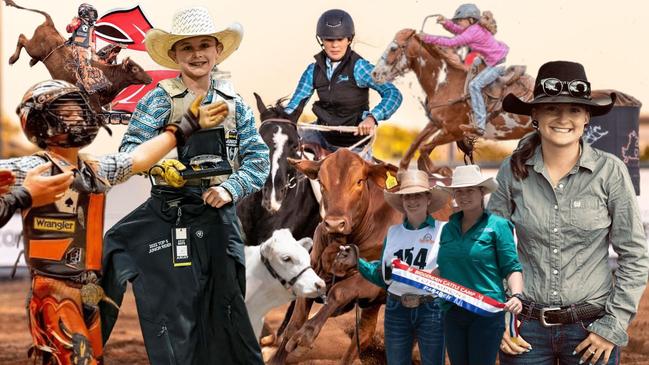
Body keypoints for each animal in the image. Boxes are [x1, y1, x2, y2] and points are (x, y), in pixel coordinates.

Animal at [4, 0, 153, 111]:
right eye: (135, 69)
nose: (150, 79)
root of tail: (50, 24)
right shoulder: (94, 102)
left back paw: (31, 61)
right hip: (34, 48)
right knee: (22, 38)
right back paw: (12, 59)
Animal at [370, 29, 532, 170]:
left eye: (393, 48)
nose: (374, 73)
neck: (444, 84)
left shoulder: (454, 131)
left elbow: (423, 149)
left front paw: (441, 171)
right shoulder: (437, 124)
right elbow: (414, 147)